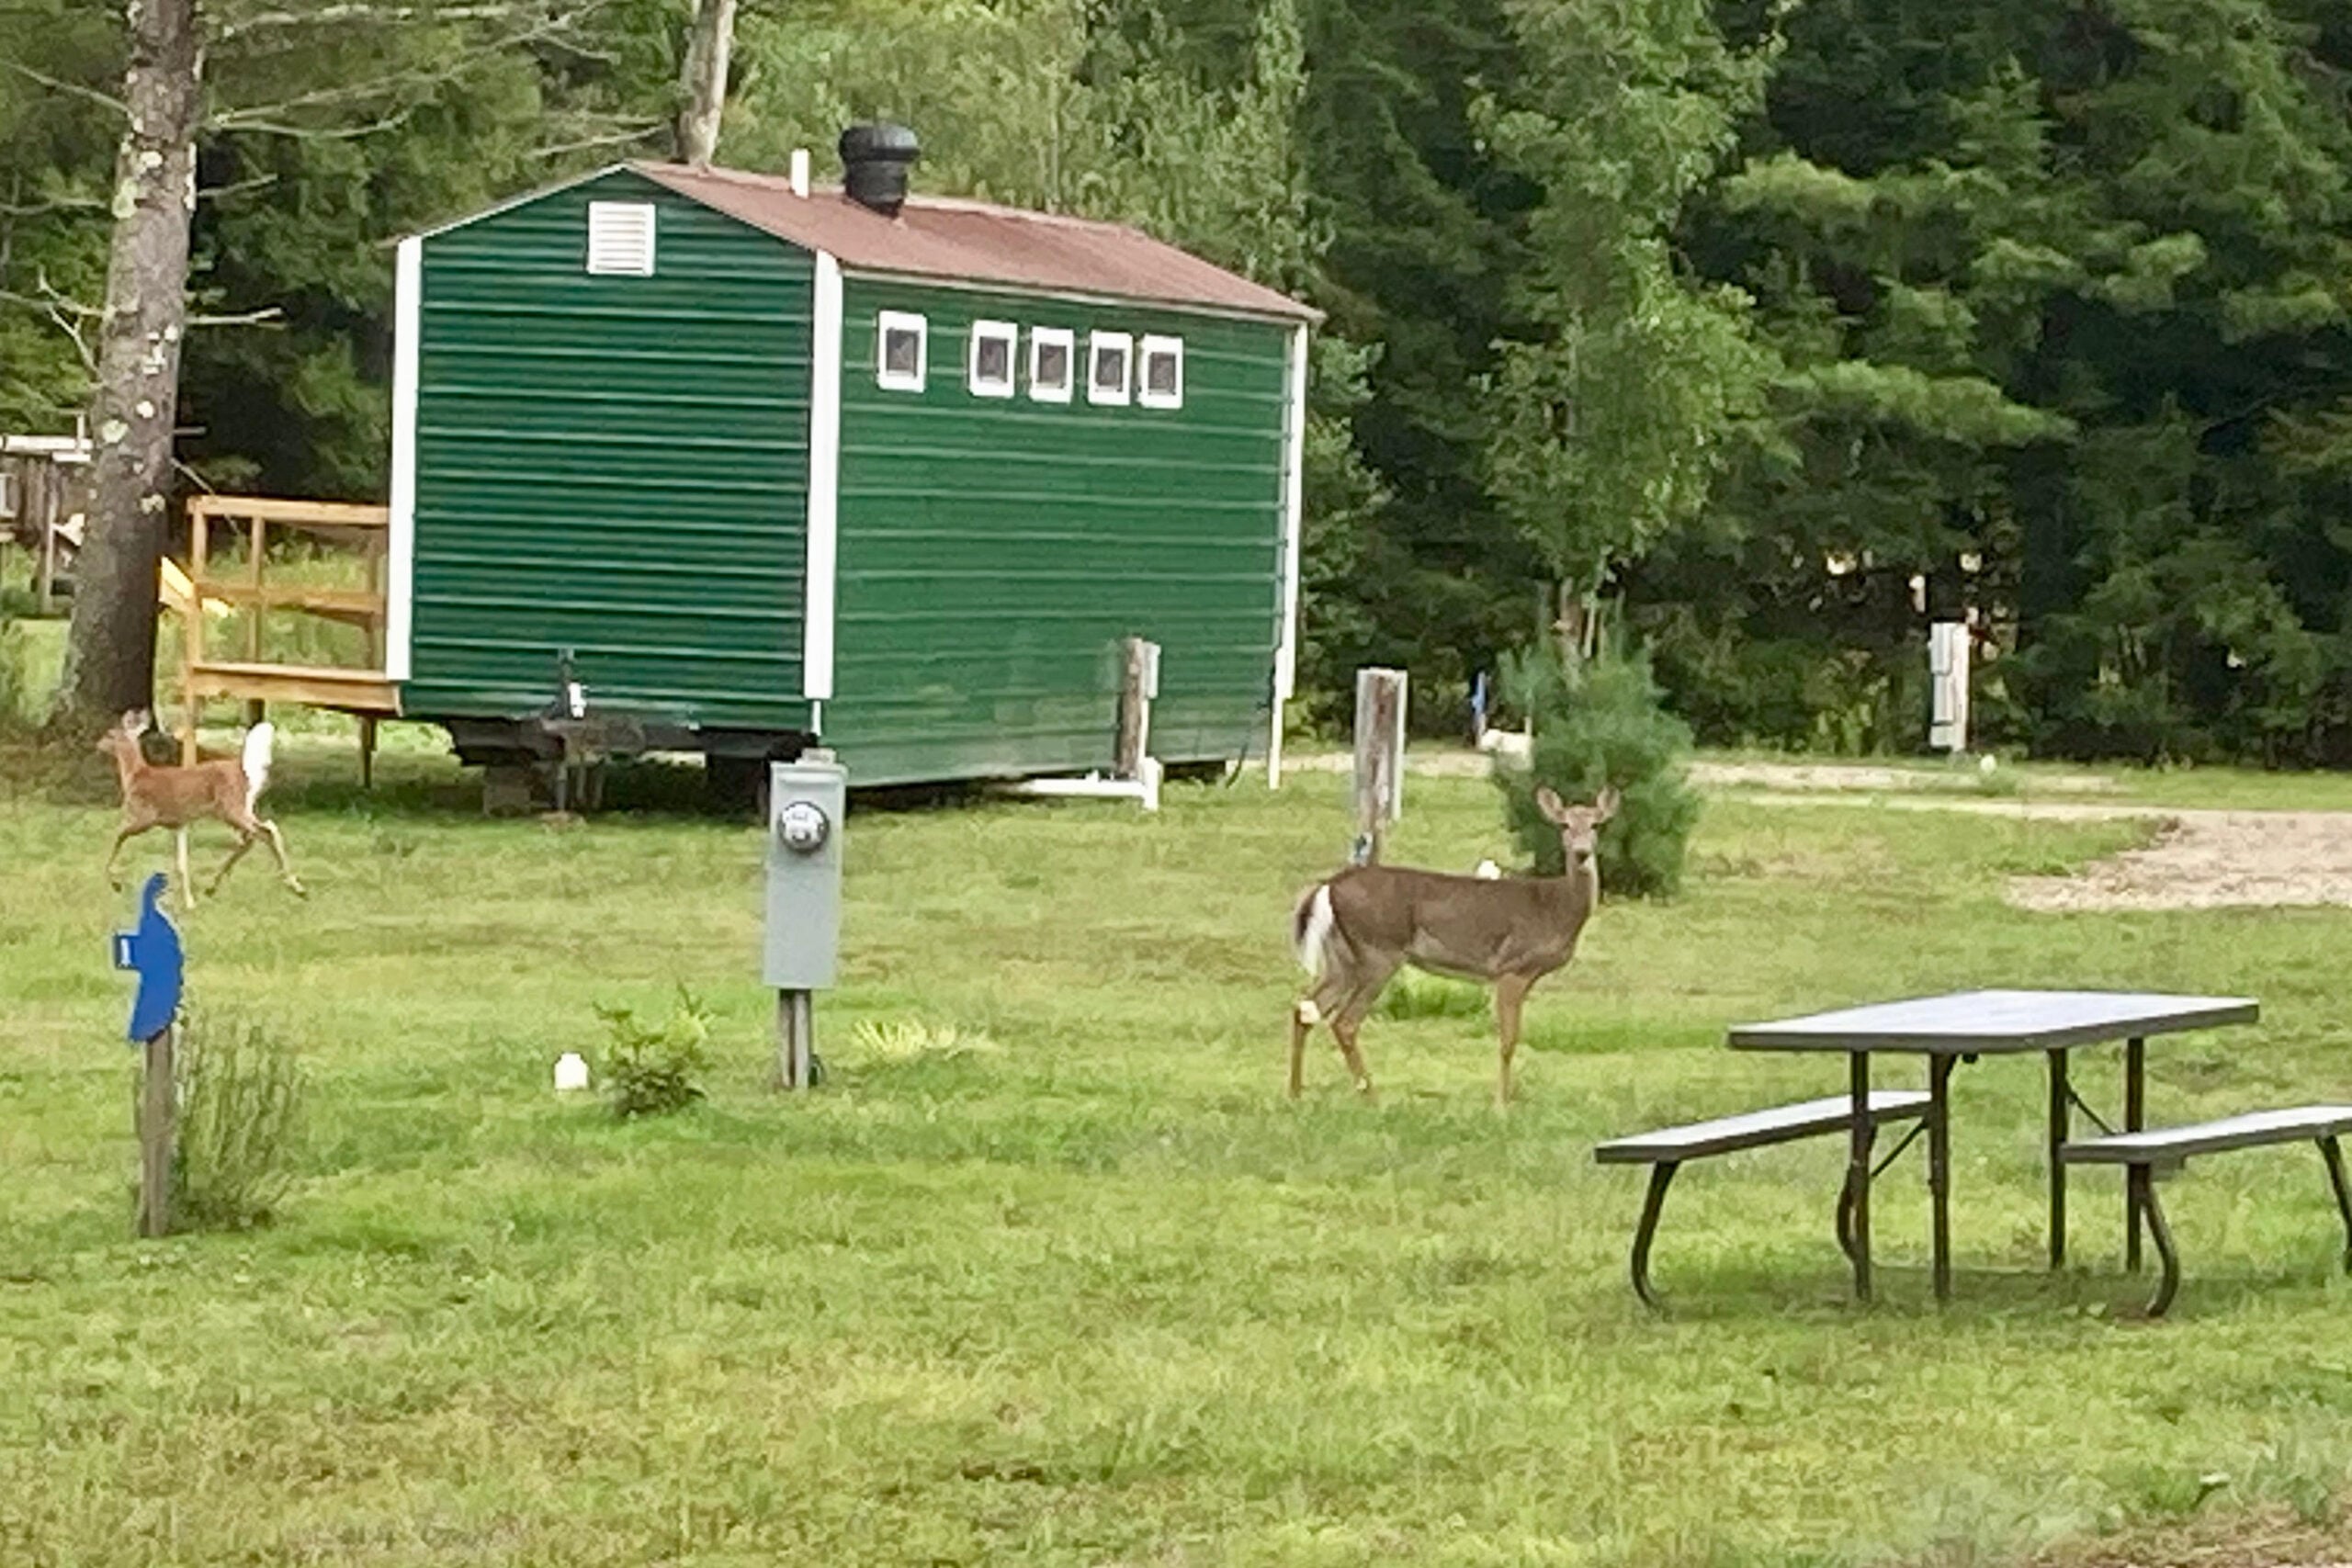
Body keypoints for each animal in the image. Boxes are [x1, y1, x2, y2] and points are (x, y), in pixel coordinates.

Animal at [98, 709, 306, 909]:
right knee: (260, 832)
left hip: (232, 809)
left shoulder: (144, 816)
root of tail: (244, 771)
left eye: (109, 733)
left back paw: (296, 887)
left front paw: (114, 883)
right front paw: (190, 903)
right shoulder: (179, 823)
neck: (134, 775)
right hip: (239, 810)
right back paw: (214, 887)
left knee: (263, 832)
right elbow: (181, 863)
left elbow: (116, 836)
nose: (98, 743)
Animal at [1289, 786, 1617, 1107]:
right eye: (1564, 824)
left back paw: (1295, 1094)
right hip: (1378, 952)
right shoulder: (1512, 967)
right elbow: (1508, 1039)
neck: (1556, 908)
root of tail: (1328, 886)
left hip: (1341, 957)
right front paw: (1501, 1105)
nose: (1582, 852)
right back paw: (1372, 1097)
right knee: (1344, 1021)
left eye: (1595, 824)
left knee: (1305, 1008)